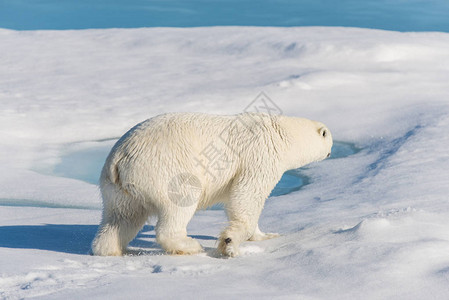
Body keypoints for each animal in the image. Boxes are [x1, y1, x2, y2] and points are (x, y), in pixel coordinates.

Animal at [89, 112, 330, 258]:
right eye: (329, 138)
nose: (330, 152)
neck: (279, 133)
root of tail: (120, 158)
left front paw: (266, 235)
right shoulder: (260, 156)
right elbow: (247, 195)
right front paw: (230, 242)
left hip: (117, 189)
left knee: (122, 217)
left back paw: (110, 249)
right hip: (165, 170)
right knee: (179, 206)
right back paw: (189, 245)